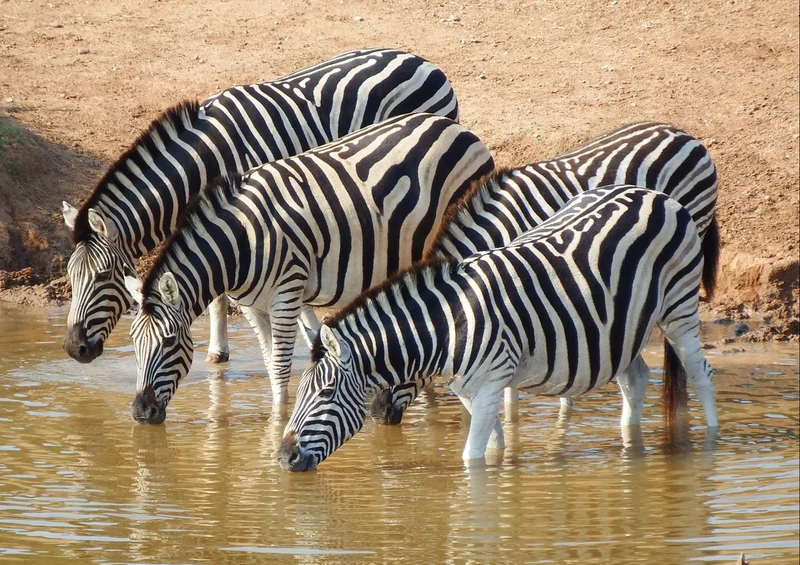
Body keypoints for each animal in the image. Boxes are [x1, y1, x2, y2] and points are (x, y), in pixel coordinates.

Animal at [60, 47, 461, 365]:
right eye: (70, 276)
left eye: (102, 276)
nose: (72, 349)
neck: (202, 162)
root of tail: (423, 61)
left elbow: (229, 293)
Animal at [122, 112, 494, 424]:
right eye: (134, 343)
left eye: (169, 342)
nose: (141, 412)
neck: (240, 243)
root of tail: (456, 127)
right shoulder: (252, 306)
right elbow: (270, 363)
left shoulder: (286, 294)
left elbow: (281, 366)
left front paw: (277, 423)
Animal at [277, 185, 720, 471]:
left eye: (326, 393)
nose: (283, 458)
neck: (448, 324)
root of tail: (656, 195)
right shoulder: (471, 391)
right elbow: (492, 448)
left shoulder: (491, 383)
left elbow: (471, 459)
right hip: (621, 328)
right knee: (636, 378)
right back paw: (631, 444)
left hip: (679, 306)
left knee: (700, 374)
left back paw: (711, 443)